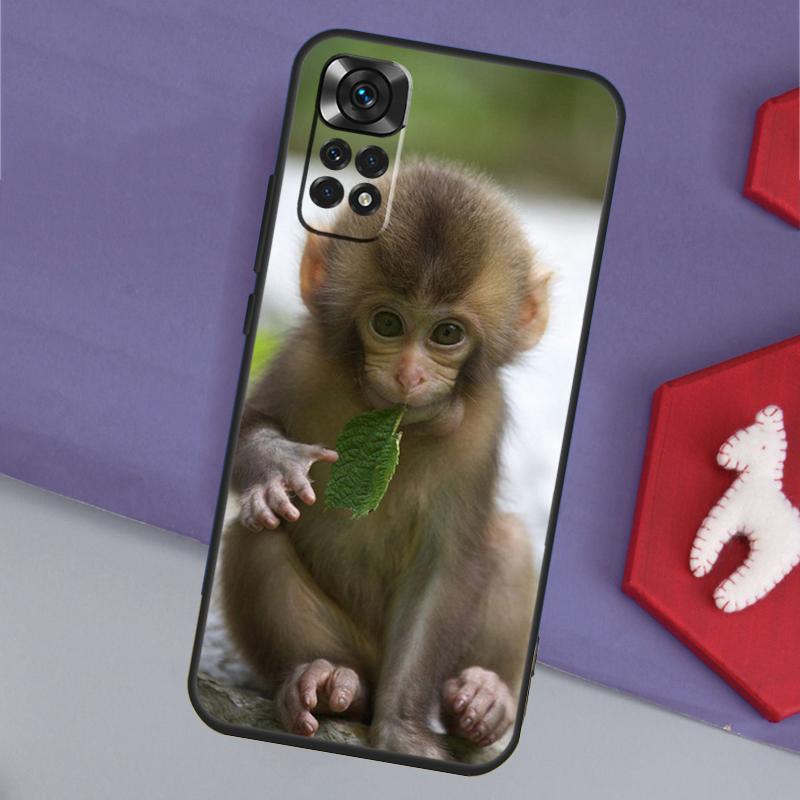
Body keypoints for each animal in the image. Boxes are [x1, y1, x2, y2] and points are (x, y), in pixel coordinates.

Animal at [219, 161, 551, 761]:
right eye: (389, 324)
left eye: (447, 333)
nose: (409, 376)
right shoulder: (304, 357)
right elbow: (246, 428)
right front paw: (274, 466)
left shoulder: (481, 423)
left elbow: (444, 566)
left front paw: (402, 729)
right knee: (258, 533)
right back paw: (328, 682)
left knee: (512, 541)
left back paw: (483, 698)